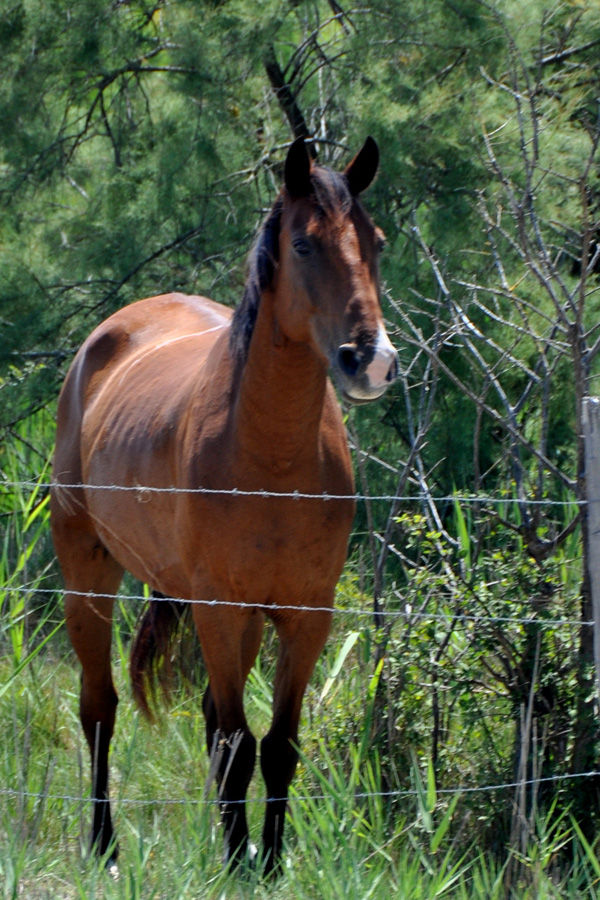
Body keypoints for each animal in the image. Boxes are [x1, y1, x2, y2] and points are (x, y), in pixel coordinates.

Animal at [50, 137, 398, 876]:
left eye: (375, 242)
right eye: (303, 243)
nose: (371, 360)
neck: (271, 461)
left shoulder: (305, 616)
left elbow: (277, 744)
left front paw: (267, 861)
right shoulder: (219, 606)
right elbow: (239, 743)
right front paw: (241, 863)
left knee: (213, 721)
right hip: (88, 578)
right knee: (99, 708)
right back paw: (104, 844)